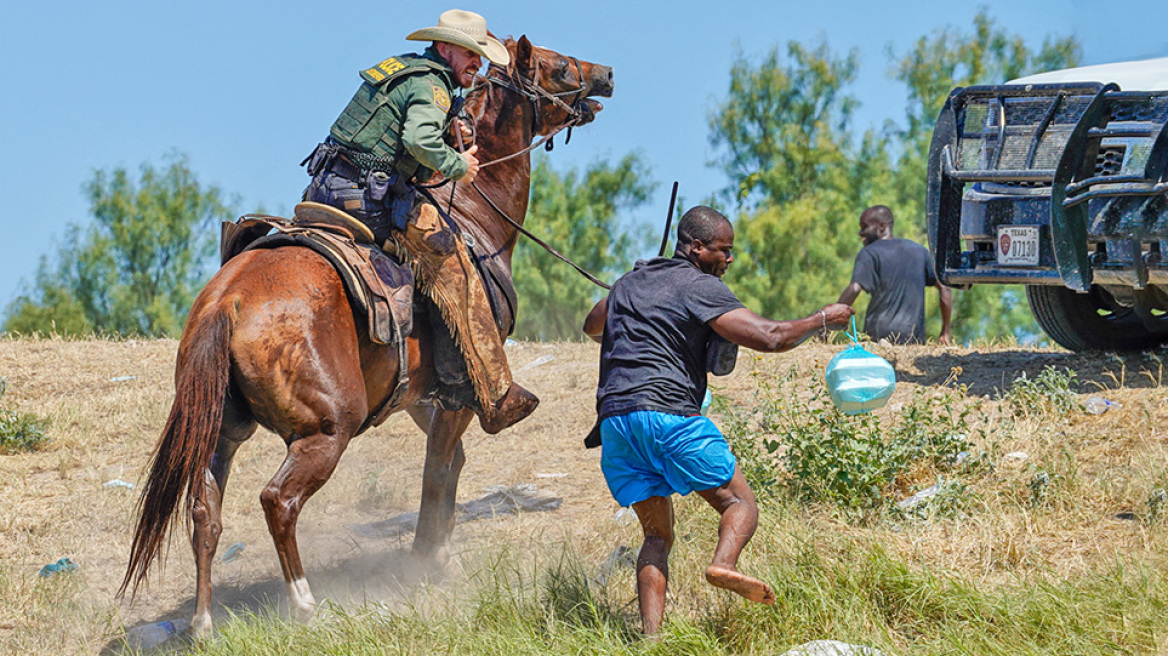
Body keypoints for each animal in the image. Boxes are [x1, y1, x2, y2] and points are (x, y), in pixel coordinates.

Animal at [119, 35, 616, 634]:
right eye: (559, 66)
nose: (607, 75)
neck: (475, 213)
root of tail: (228, 302)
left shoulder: (421, 397)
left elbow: (450, 465)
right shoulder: (459, 394)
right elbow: (437, 470)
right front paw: (428, 560)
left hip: (222, 430)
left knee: (204, 512)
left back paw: (202, 622)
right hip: (326, 430)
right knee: (278, 500)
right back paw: (304, 602)